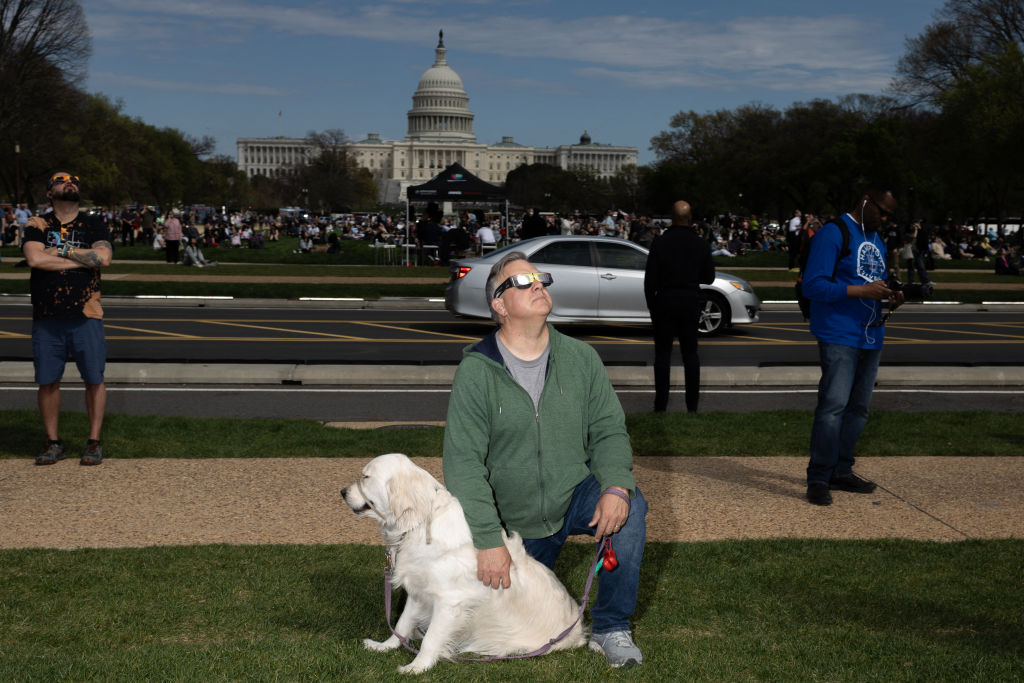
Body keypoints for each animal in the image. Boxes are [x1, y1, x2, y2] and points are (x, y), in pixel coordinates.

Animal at [342, 454, 585, 671]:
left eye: (365, 476)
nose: (342, 492)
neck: (418, 525)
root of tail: (578, 631)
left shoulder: (449, 602)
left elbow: (430, 639)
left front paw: (417, 667)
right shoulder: (418, 592)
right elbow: (401, 624)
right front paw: (384, 647)